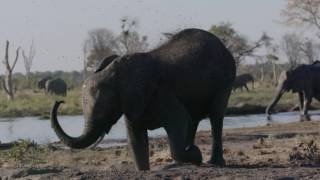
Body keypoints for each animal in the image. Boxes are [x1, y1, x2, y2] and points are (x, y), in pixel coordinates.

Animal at [50, 28, 235, 170]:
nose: (60, 101)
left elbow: (179, 120)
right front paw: (144, 170)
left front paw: (196, 154)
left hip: (224, 80)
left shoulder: (161, 93)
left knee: (215, 116)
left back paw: (213, 162)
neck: (115, 71)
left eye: (105, 108)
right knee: (194, 118)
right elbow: (136, 140)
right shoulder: (131, 103)